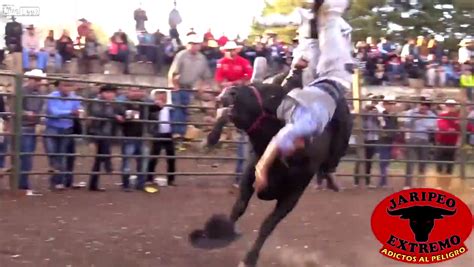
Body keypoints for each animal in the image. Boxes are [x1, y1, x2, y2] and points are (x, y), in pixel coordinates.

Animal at [192, 82, 352, 267]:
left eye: (270, 94)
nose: (230, 91)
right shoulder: (249, 178)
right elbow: (238, 207)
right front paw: (220, 233)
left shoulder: (291, 197)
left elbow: (267, 225)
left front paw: (249, 259)